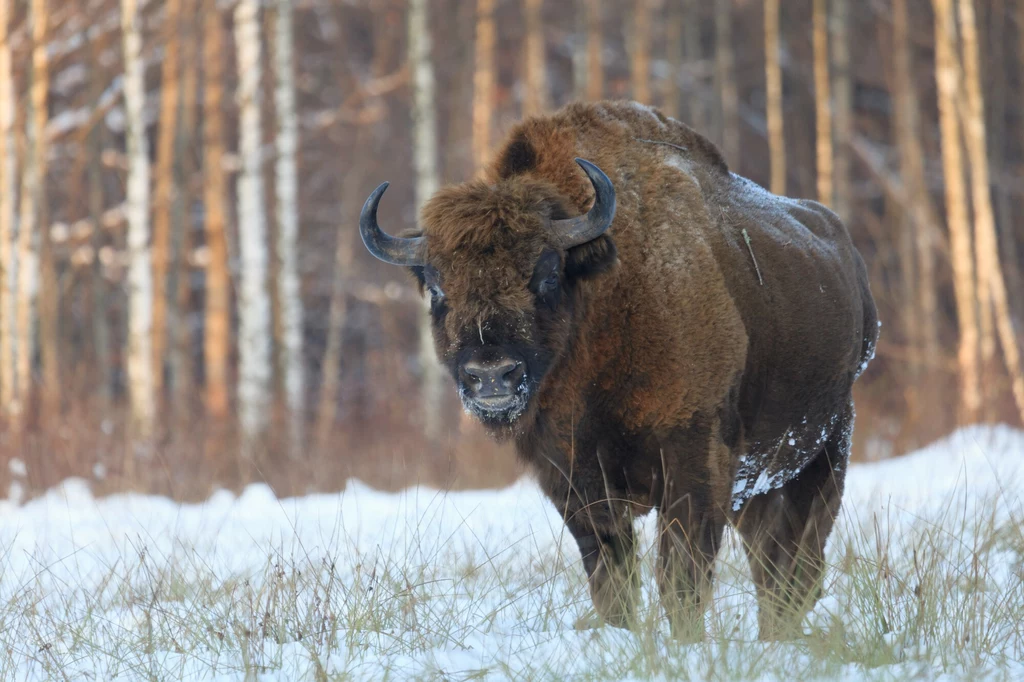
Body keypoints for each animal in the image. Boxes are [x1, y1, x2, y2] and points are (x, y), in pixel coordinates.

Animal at [356, 100, 876, 638]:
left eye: (547, 274)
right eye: (437, 287)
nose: (491, 374)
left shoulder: (695, 461)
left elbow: (681, 578)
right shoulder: (573, 483)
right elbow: (612, 579)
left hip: (823, 453)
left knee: (795, 565)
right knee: (772, 566)